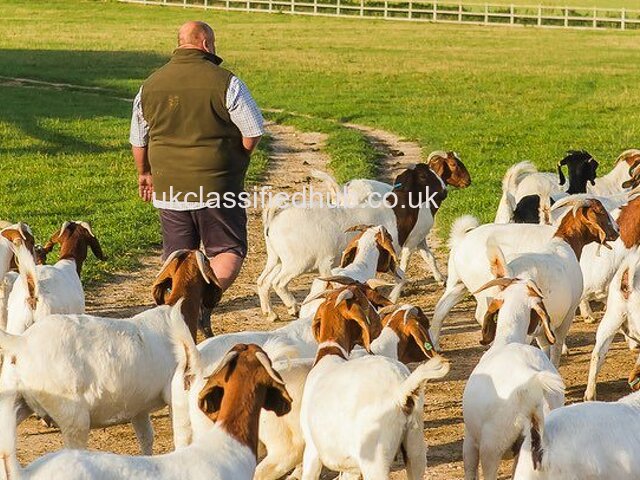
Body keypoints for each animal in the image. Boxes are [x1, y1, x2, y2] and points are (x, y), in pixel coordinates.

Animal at [0, 251, 220, 455]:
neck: (175, 315)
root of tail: (22, 343)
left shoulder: (138, 406)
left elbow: (146, 438)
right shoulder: (175, 394)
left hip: (15, 399)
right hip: (72, 416)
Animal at [258, 153, 471, 320]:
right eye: (424, 176)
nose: (443, 191)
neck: (395, 210)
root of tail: (276, 217)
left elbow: (402, 276)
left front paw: (392, 299)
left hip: (277, 258)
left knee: (264, 281)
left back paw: (271, 313)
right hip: (298, 261)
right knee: (278, 283)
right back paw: (292, 307)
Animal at [299, 283, 449, 479]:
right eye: (365, 301)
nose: (378, 324)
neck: (330, 354)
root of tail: (400, 392)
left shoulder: (312, 452)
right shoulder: (351, 469)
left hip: (375, 458)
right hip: (415, 449)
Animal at [432, 198, 619, 366]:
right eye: (601, 212)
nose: (617, 230)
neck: (564, 243)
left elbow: (545, 343)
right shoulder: (568, 311)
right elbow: (556, 343)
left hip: (459, 284)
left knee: (442, 308)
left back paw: (435, 345)